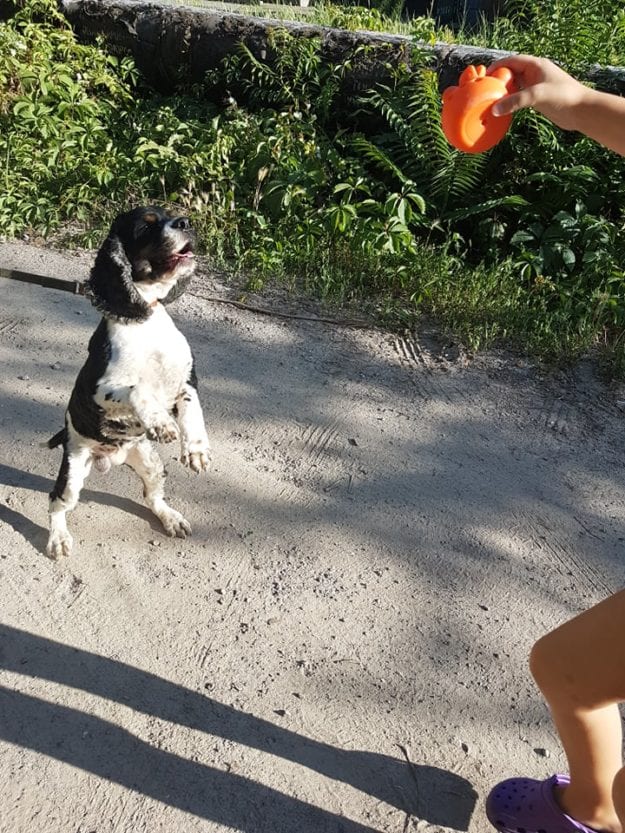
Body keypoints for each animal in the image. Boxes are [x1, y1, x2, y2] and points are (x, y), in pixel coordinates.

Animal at [45, 206, 212, 560]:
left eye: (171, 213)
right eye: (145, 226)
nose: (186, 222)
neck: (145, 319)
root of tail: (111, 457)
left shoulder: (187, 379)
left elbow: (193, 411)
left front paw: (196, 450)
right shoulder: (99, 388)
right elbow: (139, 390)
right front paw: (161, 422)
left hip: (150, 462)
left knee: (153, 496)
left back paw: (172, 519)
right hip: (73, 472)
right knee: (57, 502)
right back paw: (58, 538)